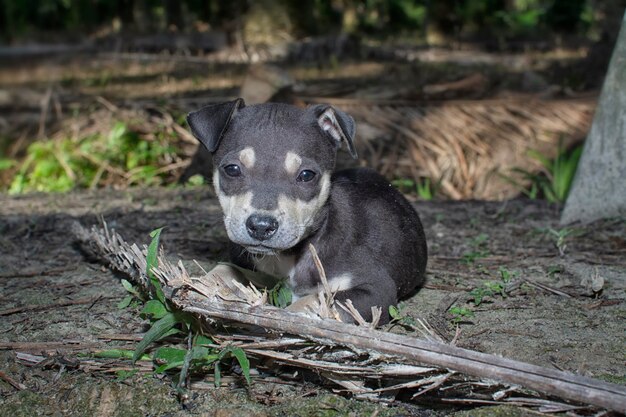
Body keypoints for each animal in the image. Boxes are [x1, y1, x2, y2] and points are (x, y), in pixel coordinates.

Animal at [188, 99, 426, 324]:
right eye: (232, 169)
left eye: (306, 175)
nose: (261, 226)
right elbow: (226, 269)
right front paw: (198, 287)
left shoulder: (376, 290)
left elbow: (315, 299)